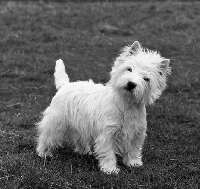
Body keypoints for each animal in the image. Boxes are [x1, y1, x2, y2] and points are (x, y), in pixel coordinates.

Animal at [35, 40, 170, 173]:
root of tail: (65, 85)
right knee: (46, 136)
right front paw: (110, 169)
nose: (131, 84)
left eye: (146, 78)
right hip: (57, 121)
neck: (126, 104)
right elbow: (108, 153)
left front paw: (133, 163)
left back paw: (84, 151)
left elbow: (133, 150)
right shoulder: (107, 133)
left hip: (80, 125)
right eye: (129, 69)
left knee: (79, 138)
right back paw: (43, 153)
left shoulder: (137, 133)